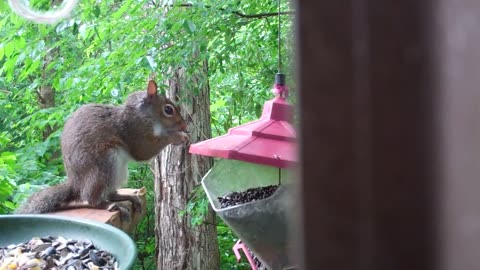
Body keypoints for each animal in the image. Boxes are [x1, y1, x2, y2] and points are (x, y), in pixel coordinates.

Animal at [15, 79, 188, 216]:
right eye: (168, 109)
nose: (184, 125)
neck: (145, 115)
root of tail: (77, 184)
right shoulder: (133, 131)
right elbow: (143, 151)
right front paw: (178, 137)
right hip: (104, 165)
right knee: (91, 199)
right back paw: (108, 205)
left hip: (118, 172)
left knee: (110, 193)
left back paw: (126, 197)